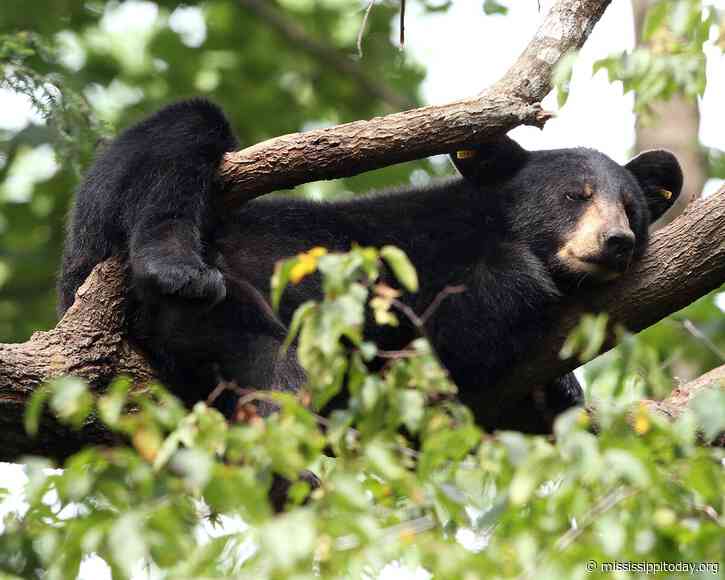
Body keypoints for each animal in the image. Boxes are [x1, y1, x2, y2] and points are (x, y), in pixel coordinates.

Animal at [58, 99, 682, 434]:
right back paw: (179, 268)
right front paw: (523, 285)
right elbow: (439, 332)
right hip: (117, 229)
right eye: (574, 197)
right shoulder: (417, 257)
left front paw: (563, 389)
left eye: (630, 207)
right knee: (181, 133)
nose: (616, 241)